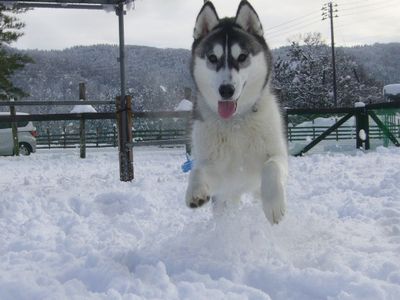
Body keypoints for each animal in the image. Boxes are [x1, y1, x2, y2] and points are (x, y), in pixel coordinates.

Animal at [186, 0, 290, 225]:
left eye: (242, 57)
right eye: (212, 58)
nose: (226, 90)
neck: (236, 123)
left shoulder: (277, 154)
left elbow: (271, 167)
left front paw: (273, 205)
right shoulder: (220, 175)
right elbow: (198, 170)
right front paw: (195, 191)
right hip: (227, 198)